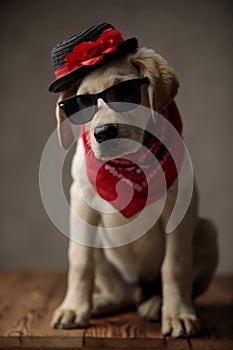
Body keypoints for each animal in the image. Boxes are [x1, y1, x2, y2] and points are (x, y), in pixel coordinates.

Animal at [51, 47, 218, 338]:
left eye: (124, 93)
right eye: (83, 104)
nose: (103, 133)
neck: (129, 167)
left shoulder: (179, 208)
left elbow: (175, 267)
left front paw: (178, 314)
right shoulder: (82, 203)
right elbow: (80, 261)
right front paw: (73, 308)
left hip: (208, 231)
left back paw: (156, 304)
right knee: (122, 295)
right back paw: (98, 303)